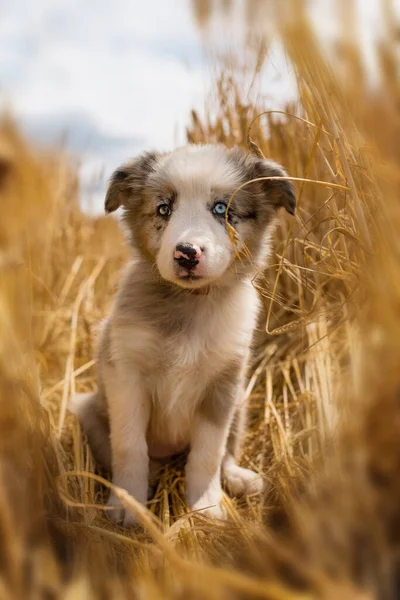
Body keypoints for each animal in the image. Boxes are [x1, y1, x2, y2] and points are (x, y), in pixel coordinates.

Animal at [70, 144, 296, 524]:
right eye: (164, 208)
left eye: (222, 209)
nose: (187, 253)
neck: (190, 305)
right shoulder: (125, 375)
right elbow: (129, 446)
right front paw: (128, 506)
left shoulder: (223, 384)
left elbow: (209, 453)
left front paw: (206, 505)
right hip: (88, 410)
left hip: (240, 402)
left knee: (226, 452)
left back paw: (239, 478)